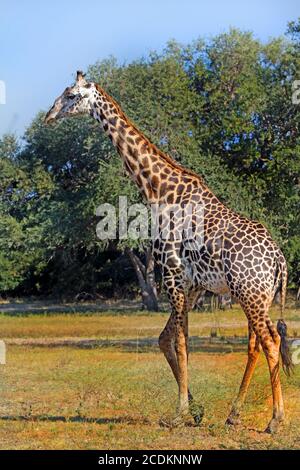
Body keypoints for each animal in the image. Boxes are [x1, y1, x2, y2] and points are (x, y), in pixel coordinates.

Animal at [45, 70, 292, 434]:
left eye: (72, 95)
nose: (49, 116)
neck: (158, 190)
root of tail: (279, 261)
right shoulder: (193, 284)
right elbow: (167, 338)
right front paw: (195, 408)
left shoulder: (173, 274)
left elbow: (180, 341)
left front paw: (179, 413)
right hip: (255, 296)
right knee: (256, 344)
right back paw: (233, 414)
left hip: (250, 294)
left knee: (271, 342)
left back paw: (275, 420)